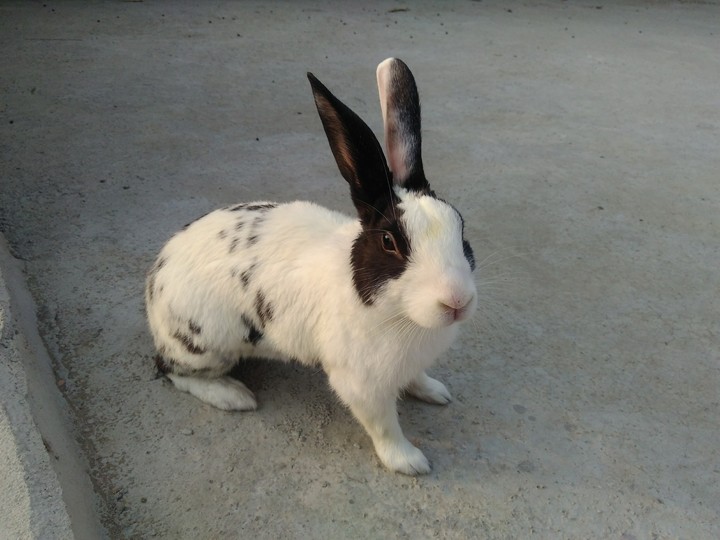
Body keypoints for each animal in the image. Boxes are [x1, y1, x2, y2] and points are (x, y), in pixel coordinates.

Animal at [145, 58, 477, 475]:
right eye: (390, 242)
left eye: (461, 228)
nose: (457, 301)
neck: (401, 316)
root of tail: (154, 280)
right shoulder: (361, 384)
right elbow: (384, 426)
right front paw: (410, 462)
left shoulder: (408, 365)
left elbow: (416, 379)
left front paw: (435, 392)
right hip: (205, 347)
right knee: (168, 370)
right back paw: (234, 396)